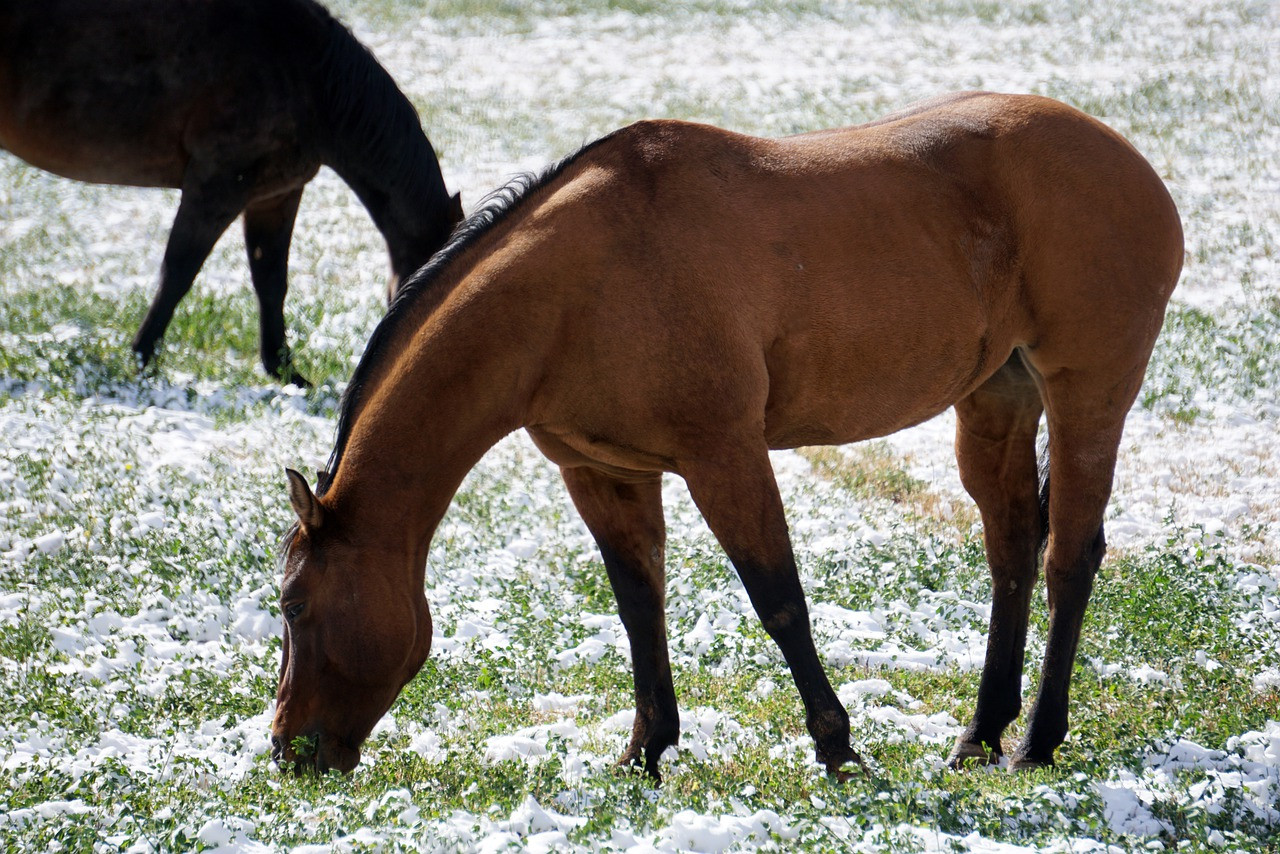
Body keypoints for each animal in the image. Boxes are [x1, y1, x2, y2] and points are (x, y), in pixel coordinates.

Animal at [0, 0, 460, 384]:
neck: (309, 78)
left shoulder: (274, 197)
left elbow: (271, 279)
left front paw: (286, 372)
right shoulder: (216, 188)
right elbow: (178, 273)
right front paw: (142, 359)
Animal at [267, 93, 1177, 783]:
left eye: (293, 604)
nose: (285, 749)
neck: (573, 286)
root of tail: (1133, 166)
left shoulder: (724, 455)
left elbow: (779, 600)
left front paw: (839, 750)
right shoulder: (602, 472)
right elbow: (640, 607)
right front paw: (644, 752)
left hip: (1089, 393)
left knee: (1069, 558)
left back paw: (1036, 742)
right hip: (995, 400)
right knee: (1013, 550)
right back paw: (981, 735)